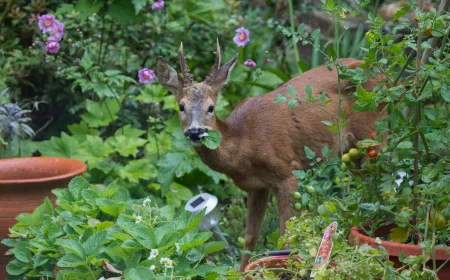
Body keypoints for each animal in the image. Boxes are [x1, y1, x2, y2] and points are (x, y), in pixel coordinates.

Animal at [156, 40, 386, 272]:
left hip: (374, 135)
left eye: (211, 107)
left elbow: (286, 237)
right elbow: (250, 236)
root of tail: (383, 72)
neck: (244, 145)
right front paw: (243, 271)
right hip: (351, 151)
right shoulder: (256, 186)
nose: (195, 132)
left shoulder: (287, 173)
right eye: (181, 106)